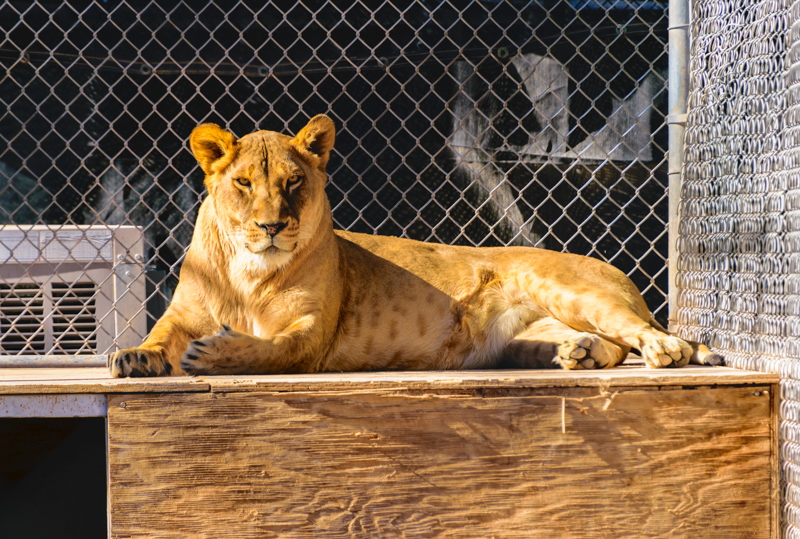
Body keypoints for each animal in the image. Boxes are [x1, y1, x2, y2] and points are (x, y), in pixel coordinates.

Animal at [111, 115, 721, 377]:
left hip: (566, 288)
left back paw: (664, 352)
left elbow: (273, 348)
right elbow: (160, 334)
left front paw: (214, 354)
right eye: (242, 183)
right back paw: (580, 354)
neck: (248, 269)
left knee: (652, 336)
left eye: (293, 182)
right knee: (611, 344)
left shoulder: (312, 332)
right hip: (526, 338)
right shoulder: (184, 312)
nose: (271, 226)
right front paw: (135, 356)